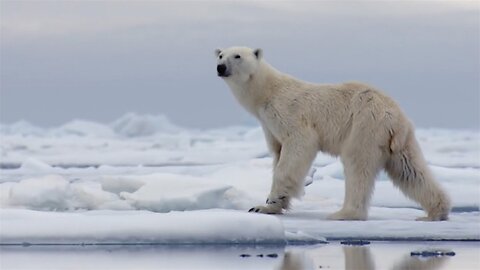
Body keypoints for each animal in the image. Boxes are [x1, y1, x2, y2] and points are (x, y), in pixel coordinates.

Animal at [216, 45, 452, 220]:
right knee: (409, 170)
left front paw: (264, 205)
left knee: (357, 164)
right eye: (220, 54)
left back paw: (345, 213)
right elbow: (277, 152)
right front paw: (270, 206)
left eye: (237, 55)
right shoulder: (269, 126)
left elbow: (296, 149)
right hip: (399, 140)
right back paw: (436, 211)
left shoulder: (289, 114)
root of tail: (394, 114)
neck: (267, 92)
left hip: (364, 125)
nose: (220, 67)